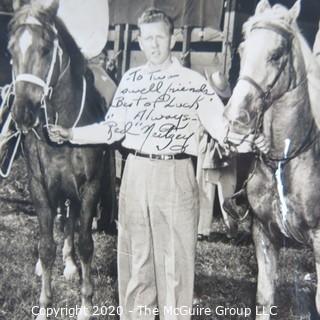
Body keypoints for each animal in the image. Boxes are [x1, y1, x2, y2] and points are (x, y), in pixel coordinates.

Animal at [7, 1, 114, 318]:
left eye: (45, 48)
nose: (22, 113)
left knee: (71, 222)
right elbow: (45, 245)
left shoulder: (89, 187)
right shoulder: (40, 187)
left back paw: (70, 265)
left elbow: (86, 242)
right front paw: (44, 307)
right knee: (61, 221)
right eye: (10, 50)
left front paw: (86, 306)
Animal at [224, 0, 320, 320]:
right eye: (241, 50)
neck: (287, 160)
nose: (235, 118)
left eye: (276, 54)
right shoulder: (264, 234)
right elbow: (264, 297)